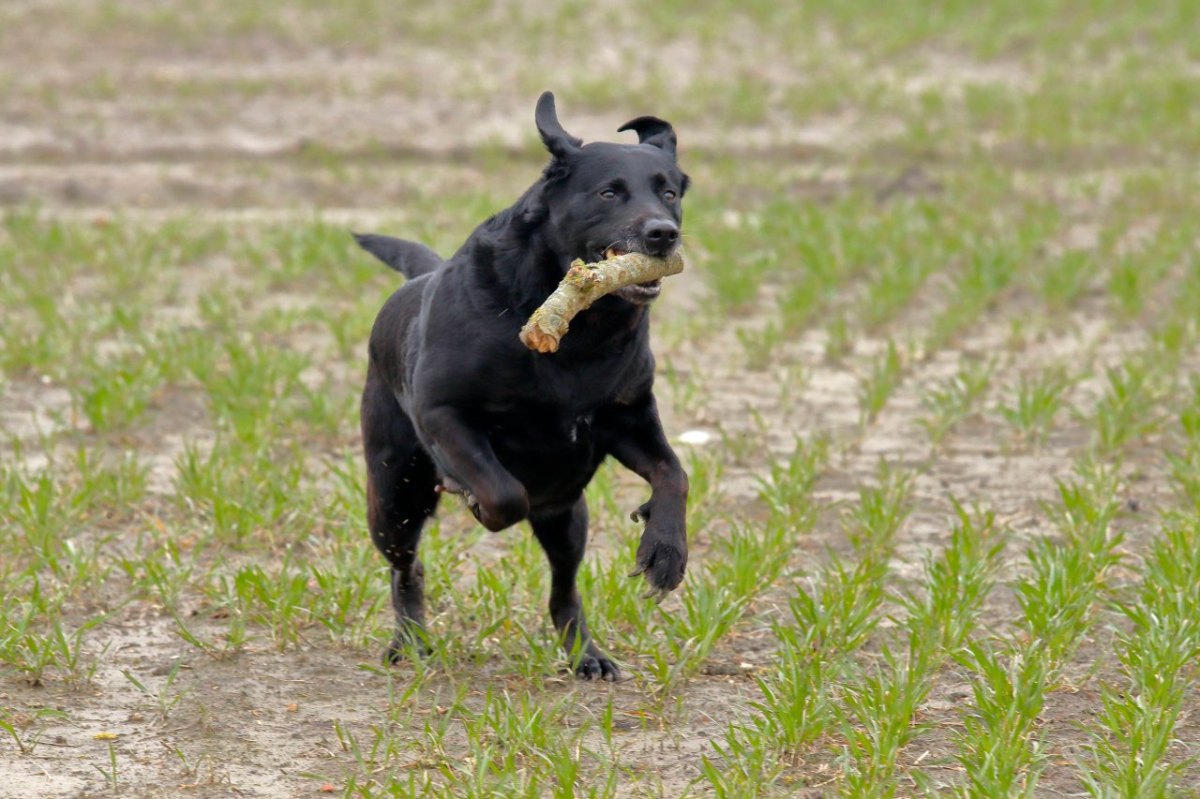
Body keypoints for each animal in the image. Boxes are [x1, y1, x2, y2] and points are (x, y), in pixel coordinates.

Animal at [355, 93, 691, 676]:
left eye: (668, 192)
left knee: (564, 590)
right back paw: (409, 640)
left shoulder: (628, 416)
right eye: (609, 192)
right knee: (406, 567)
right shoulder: (444, 414)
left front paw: (664, 549)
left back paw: (587, 655)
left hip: (569, 522)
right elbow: (504, 493)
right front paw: (477, 499)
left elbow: (674, 474)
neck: (578, 331)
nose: (662, 233)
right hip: (395, 493)